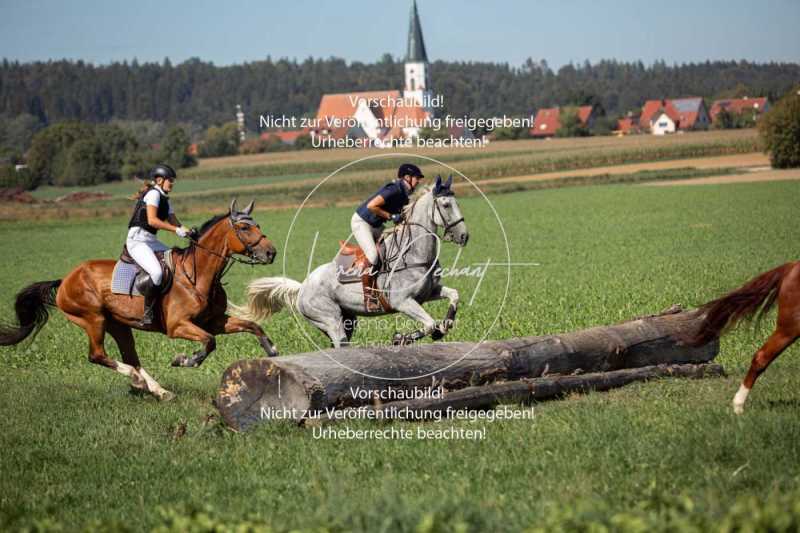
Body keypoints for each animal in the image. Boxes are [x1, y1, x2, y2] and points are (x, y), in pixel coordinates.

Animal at [0, 200, 278, 400]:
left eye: (258, 225)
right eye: (244, 228)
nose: (271, 253)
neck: (198, 275)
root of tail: (65, 280)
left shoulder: (214, 321)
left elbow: (252, 326)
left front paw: (272, 352)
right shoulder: (178, 326)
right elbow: (209, 343)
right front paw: (184, 360)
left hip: (118, 325)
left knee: (131, 357)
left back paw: (160, 390)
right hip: (93, 319)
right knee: (97, 355)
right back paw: (137, 380)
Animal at [231, 175, 468, 348]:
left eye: (456, 202)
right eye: (446, 205)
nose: (464, 236)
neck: (414, 252)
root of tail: (302, 287)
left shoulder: (427, 293)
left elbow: (454, 296)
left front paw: (444, 326)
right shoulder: (403, 301)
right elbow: (428, 324)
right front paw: (402, 338)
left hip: (348, 320)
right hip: (330, 318)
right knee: (339, 344)